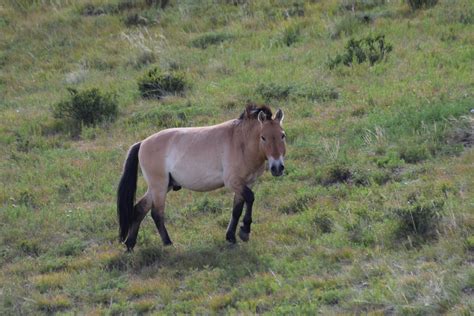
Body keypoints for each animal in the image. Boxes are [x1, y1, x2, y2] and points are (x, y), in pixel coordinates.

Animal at [116, 105, 286, 251]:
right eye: (263, 137)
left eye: (282, 135)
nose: (277, 168)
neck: (241, 142)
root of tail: (142, 143)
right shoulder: (233, 182)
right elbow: (250, 198)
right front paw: (244, 231)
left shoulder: (246, 183)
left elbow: (237, 209)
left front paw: (231, 237)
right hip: (159, 186)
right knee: (156, 214)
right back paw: (168, 243)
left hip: (161, 186)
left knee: (140, 209)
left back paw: (130, 245)